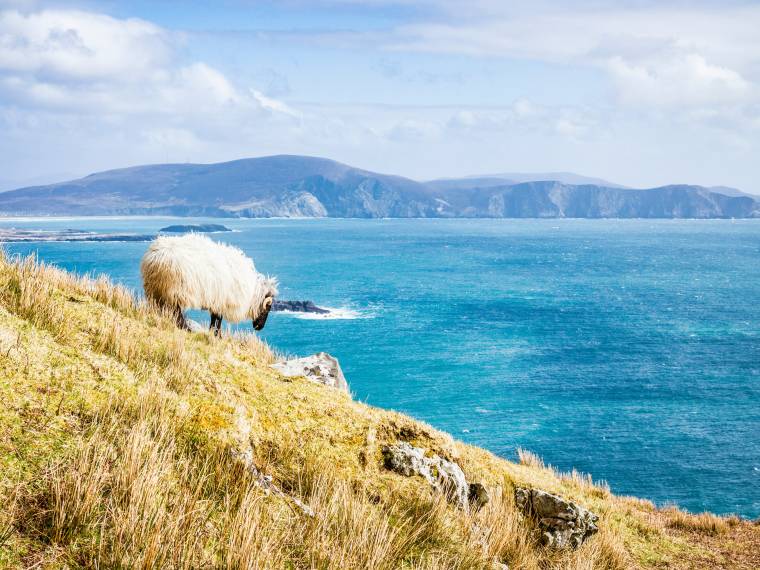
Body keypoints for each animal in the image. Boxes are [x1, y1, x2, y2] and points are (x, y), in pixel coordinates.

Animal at [140, 233, 276, 336]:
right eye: (269, 307)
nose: (259, 327)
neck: (252, 294)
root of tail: (155, 256)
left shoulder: (217, 300)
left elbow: (214, 318)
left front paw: (212, 333)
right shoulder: (222, 301)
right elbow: (218, 319)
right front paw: (217, 335)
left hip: (157, 290)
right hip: (173, 290)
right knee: (176, 312)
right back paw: (185, 328)